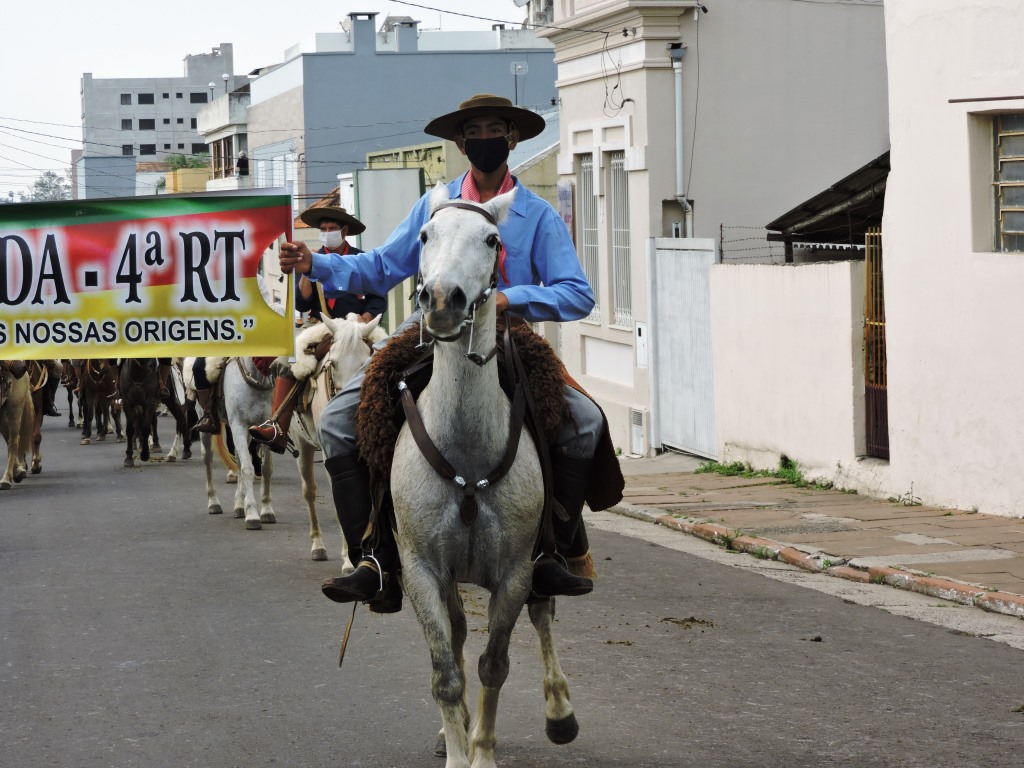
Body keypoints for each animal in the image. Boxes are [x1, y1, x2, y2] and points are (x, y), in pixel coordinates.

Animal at [288, 311, 387, 561]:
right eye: (332, 364)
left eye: (366, 361)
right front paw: (348, 559)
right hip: (302, 445)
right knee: (309, 491)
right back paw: (317, 544)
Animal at [387, 186, 577, 768]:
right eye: (425, 235)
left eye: (492, 239)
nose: (441, 300)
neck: (467, 453)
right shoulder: (422, 570)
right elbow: (445, 673)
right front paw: (456, 746)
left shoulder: (515, 571)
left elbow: (496, 663)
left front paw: (482, 752)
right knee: (457, 634)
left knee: (543, 615)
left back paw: (560, 712)